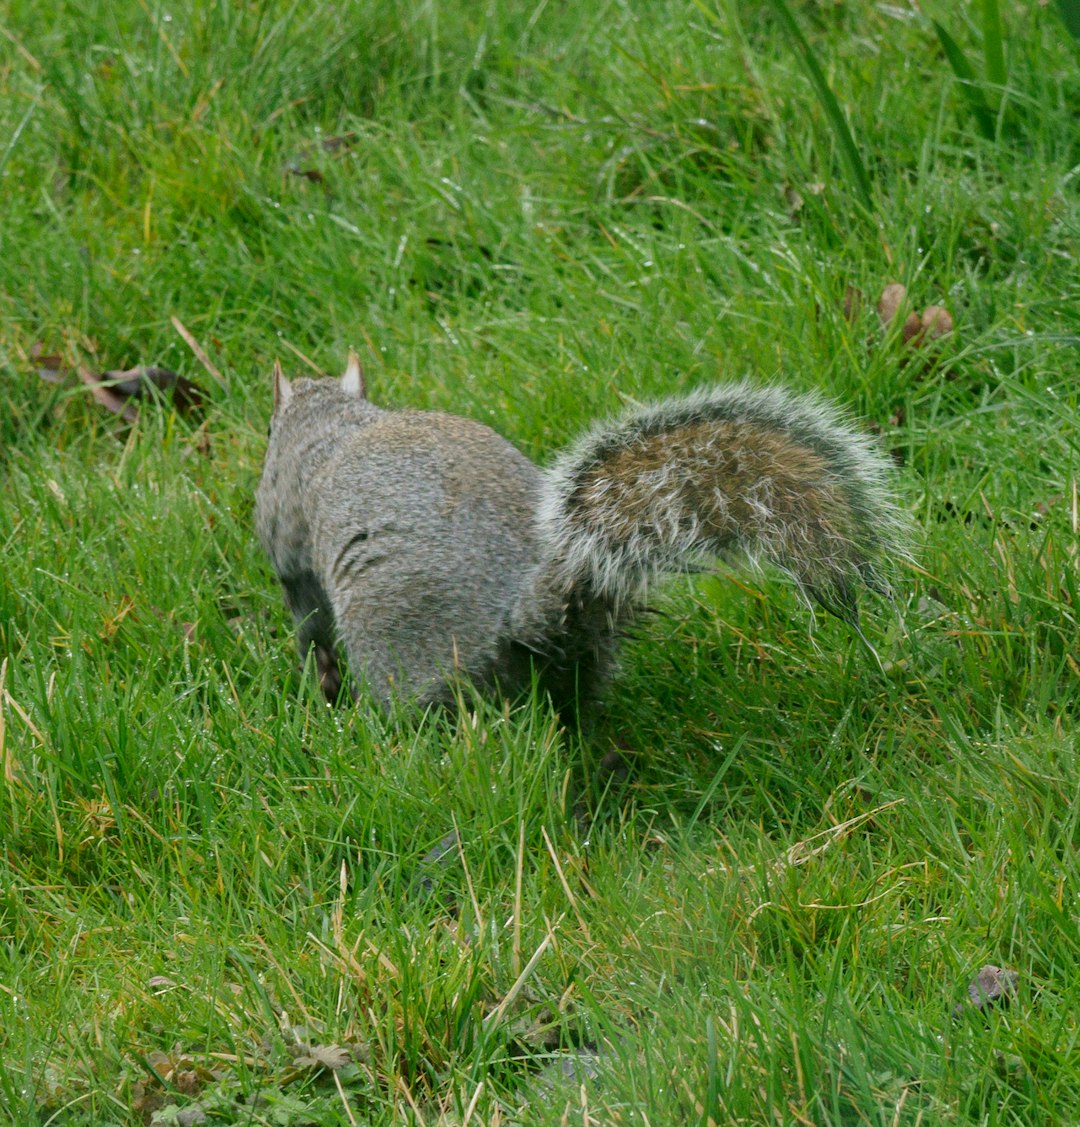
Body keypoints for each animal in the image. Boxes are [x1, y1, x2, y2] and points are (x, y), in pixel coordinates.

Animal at [253, 353, 906, 712]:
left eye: (265, 430)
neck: (331, 424)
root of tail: (518, 610)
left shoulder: (290, 548)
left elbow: (309, 621)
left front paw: (320, 685)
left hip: (401, 649)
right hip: (582, 656)